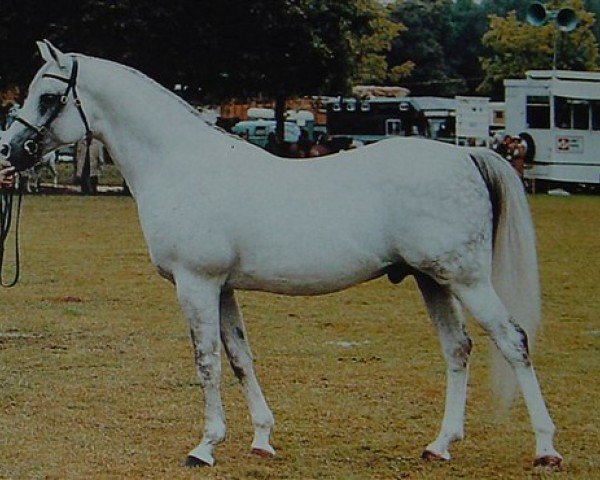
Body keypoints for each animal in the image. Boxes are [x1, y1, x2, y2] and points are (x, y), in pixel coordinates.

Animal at [1, 41, 564, 468]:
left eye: (48, 95)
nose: (8, 151)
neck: (183, 164)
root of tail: (465, 154)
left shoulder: (196, 283)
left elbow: (206, 361)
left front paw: (204, 447)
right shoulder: (223, 288)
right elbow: (239, 358)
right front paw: (261, 438)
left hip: (467, 279)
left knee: (513, 341)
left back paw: (545, 449)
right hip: (433, 280)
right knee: (457, 349)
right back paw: (440, 445)